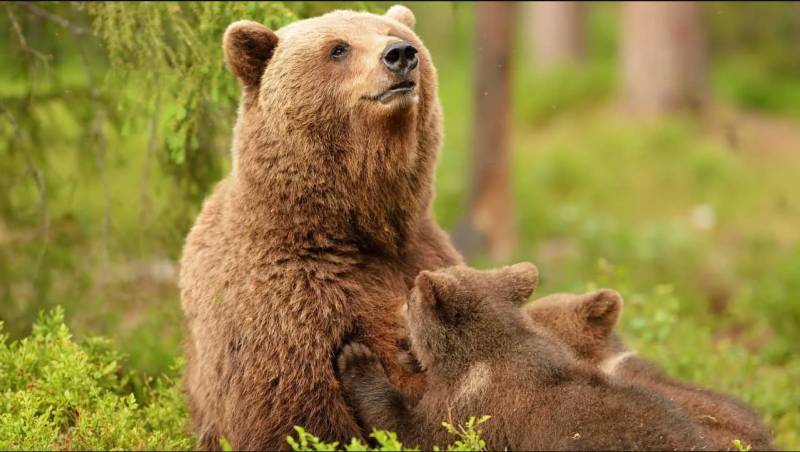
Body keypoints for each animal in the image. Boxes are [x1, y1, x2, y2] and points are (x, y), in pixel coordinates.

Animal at [178, 5, 463, 450]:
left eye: (395, 33)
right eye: (338, 48)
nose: (400, 54)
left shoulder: (423, 255)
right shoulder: (288, 301)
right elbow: (298, 414)